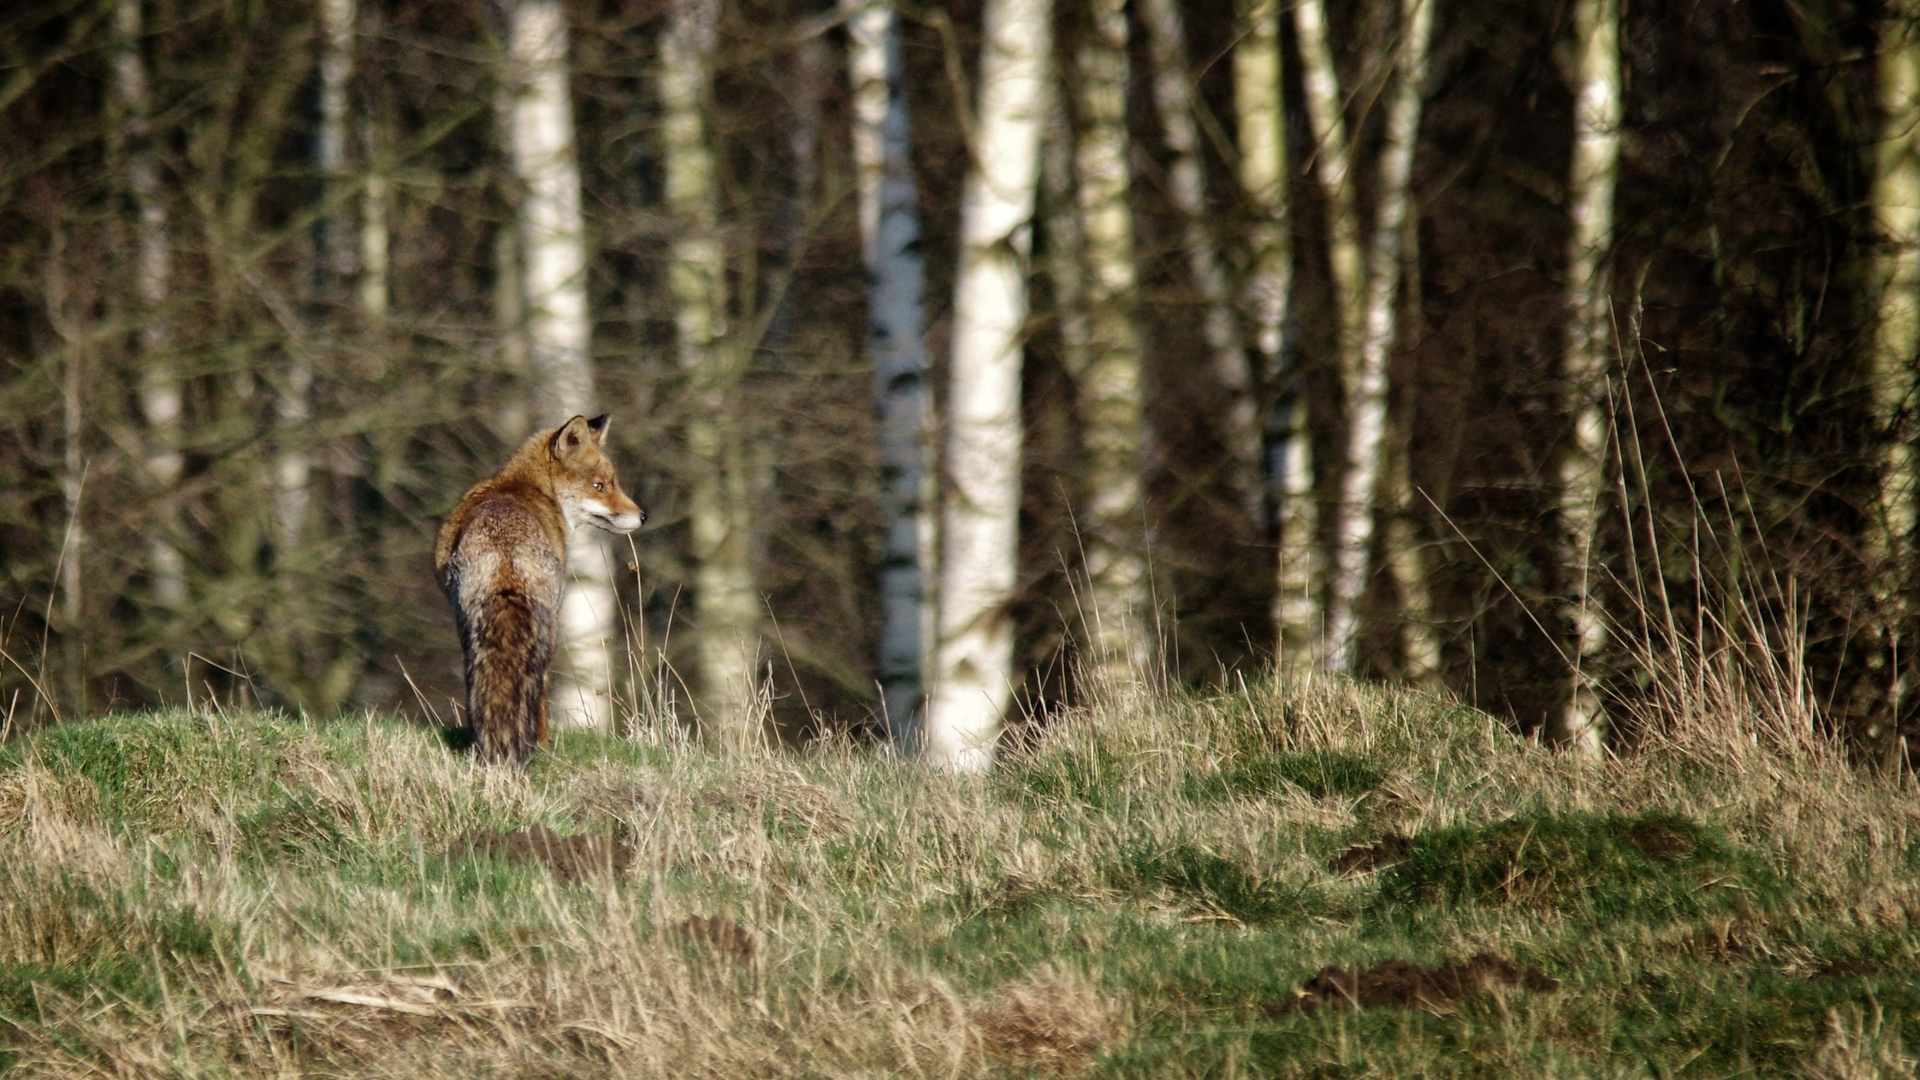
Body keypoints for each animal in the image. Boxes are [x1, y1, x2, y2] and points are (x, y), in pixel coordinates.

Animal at [435, 411, 645, 764]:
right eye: (599, 486)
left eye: (610, 483)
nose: (643, 516)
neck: (528, 488)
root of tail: (506, 554)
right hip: (547, 632)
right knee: (541, 689)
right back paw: (542, 744)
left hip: (473, 630)